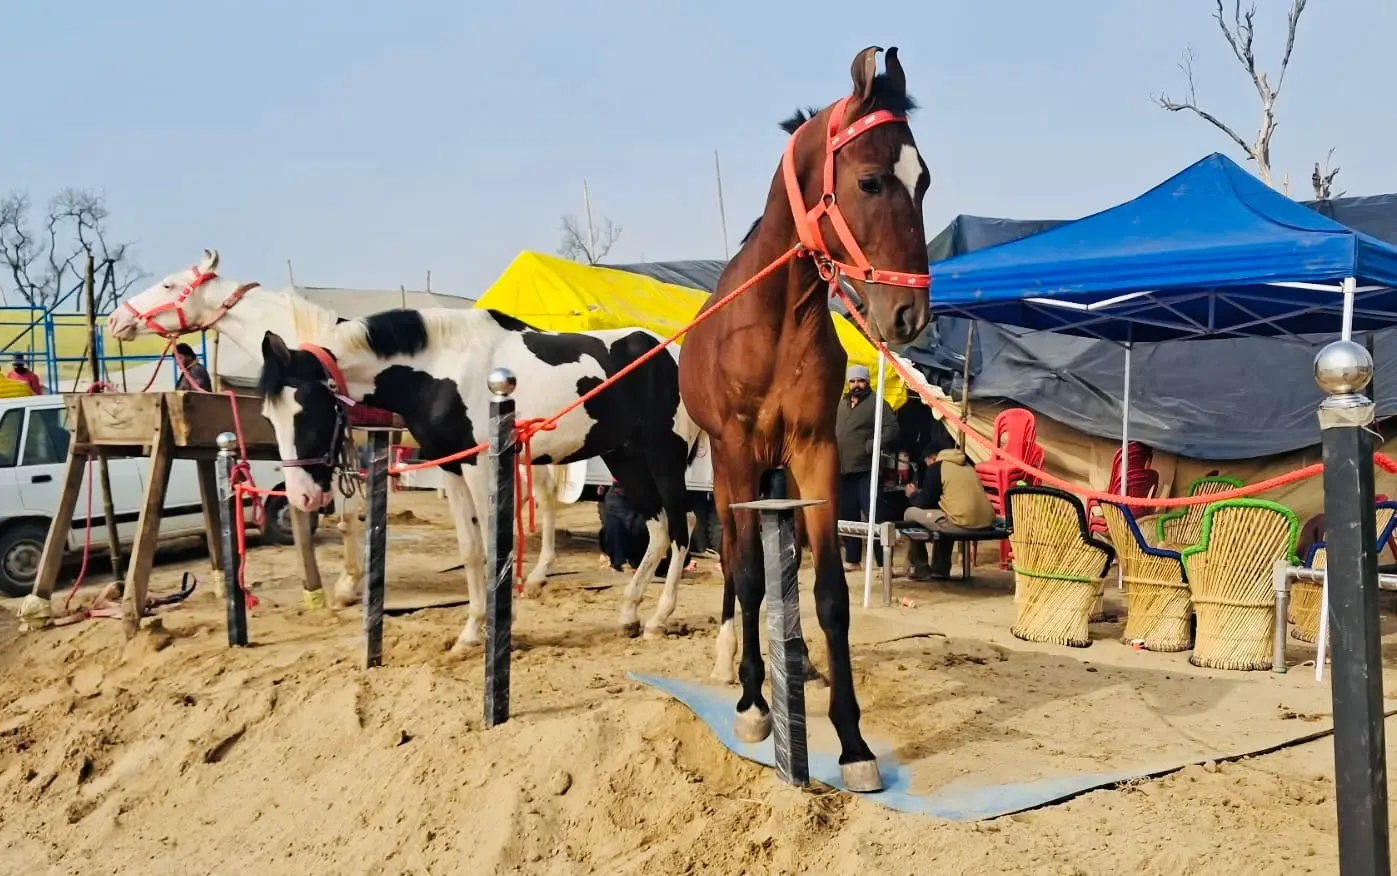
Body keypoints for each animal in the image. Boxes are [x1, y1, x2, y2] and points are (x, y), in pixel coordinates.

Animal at [105, 251, 572, 604]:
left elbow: (347, 516)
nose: (115, 321)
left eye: (168, 285)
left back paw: (537, 573)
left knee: (545, 497)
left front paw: (347, 585)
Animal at [254, 307, 701, 651]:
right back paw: (629, 615)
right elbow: (471, 549)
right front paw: (471, 632)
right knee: (660, 529)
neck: (440, 369)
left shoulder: (481, 464)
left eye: (308, 413)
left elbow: (493, 546)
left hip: (664, 456)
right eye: (268, 416)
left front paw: (503, 625)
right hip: (623, 457)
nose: (302, 498)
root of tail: (675, 353)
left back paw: (659, 619)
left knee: (683, 527)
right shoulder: (451, 466)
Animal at [676, 46, 932, 794]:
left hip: (778, 475)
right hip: (730, 476)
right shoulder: (736, 452)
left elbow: (829, 594)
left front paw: (851, 743)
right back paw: (734, 662)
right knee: (735, 565)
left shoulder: (814, 453)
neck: (775, 320)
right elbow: (749, 577)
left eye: (924, 181)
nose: (908, 316)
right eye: (870, 180)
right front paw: (754, 704)